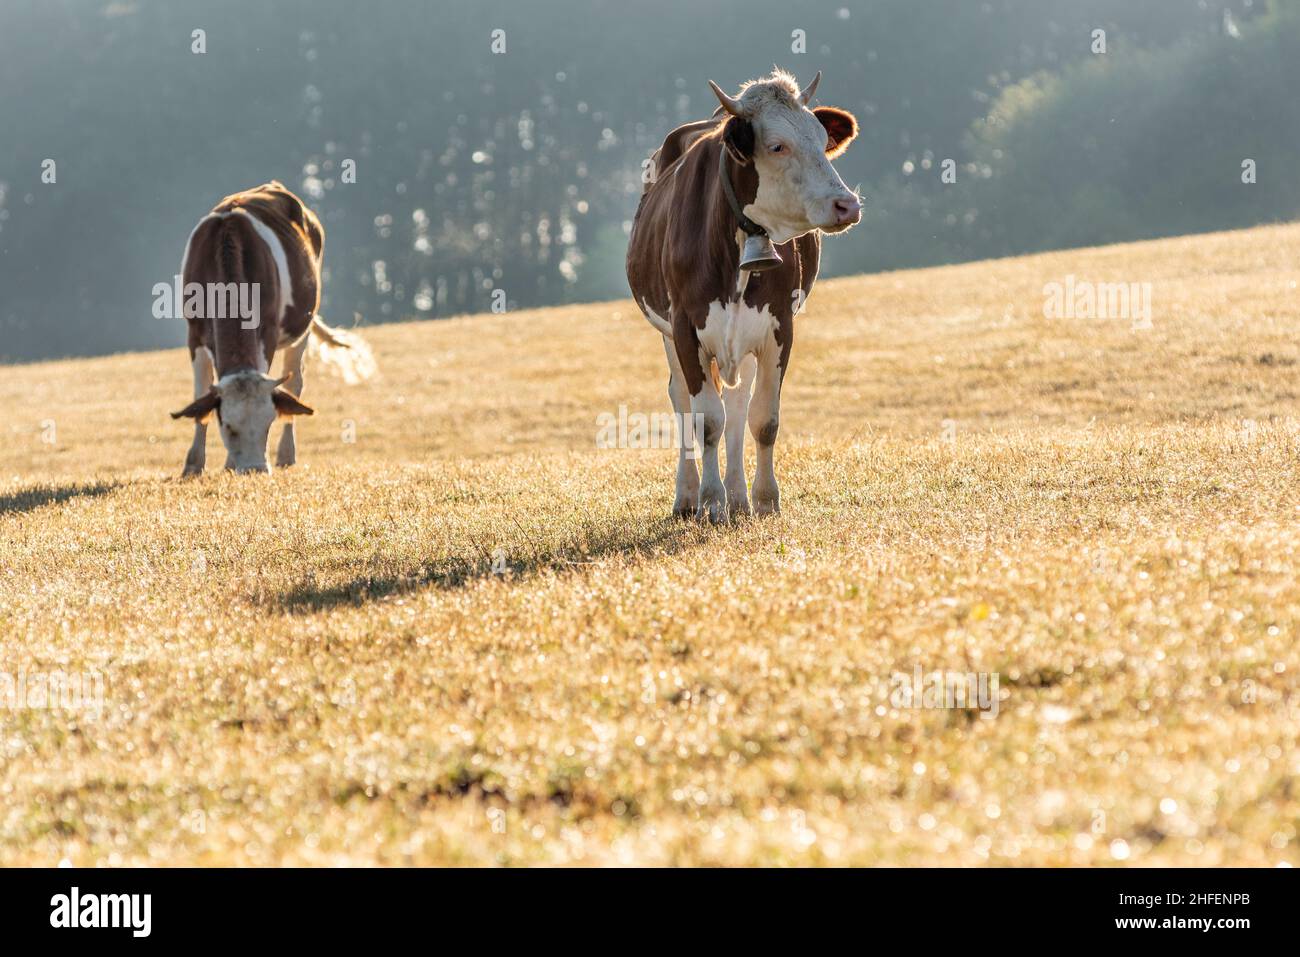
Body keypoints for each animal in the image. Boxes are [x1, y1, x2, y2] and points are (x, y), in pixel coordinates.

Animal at [170, 179, 374, 475]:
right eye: (227, 425)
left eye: (268, 423)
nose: (255, 468)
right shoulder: (194, 334)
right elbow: (201, 394)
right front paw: (193, 465)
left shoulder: (267, 331)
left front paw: (229, 464)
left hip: (303, 325)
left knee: (295, 382)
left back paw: (287, 454)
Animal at [624, 70, 857, 522]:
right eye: (777, 145)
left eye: (822, 140)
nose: (847, 205)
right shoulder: (684, 328)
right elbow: (705, 421)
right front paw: (710, 502)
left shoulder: (778, 327)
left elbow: (762, 419)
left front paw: (763, 500)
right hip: (668, 335)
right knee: (682, 400)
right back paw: (688, 496)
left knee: (737, 403)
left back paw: (738, 495)